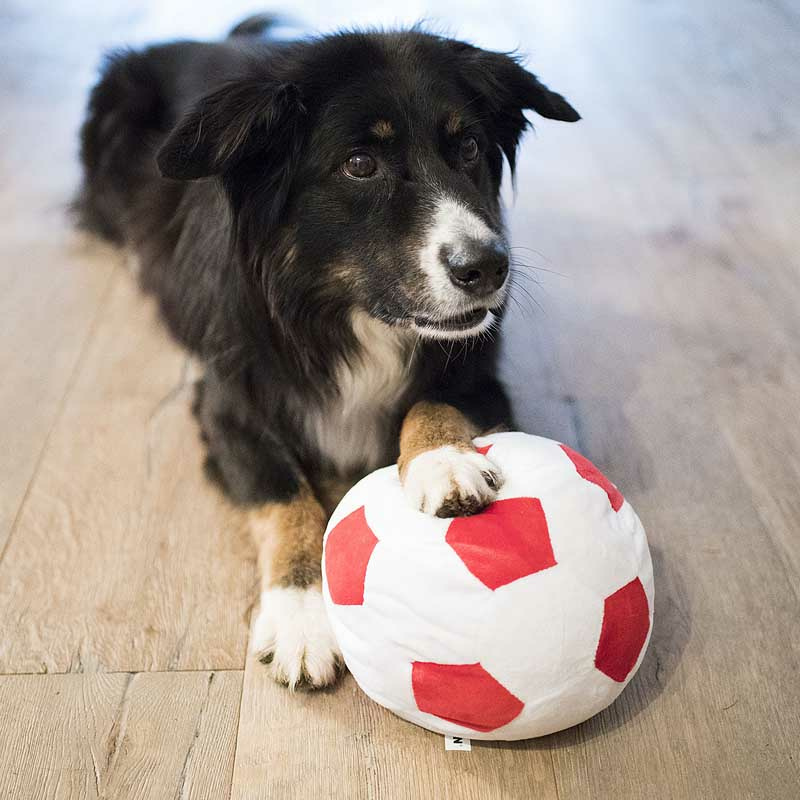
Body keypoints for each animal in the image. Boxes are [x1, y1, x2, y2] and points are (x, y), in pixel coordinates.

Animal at [78, 14, 580, 688]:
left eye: (470, 147)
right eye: (360, 163)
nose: (489, 267)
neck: (345, 314)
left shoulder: (479, 368)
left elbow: (433, 401)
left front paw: (441, 461)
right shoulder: (226, 407)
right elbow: (285, 496)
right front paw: (301, 616)